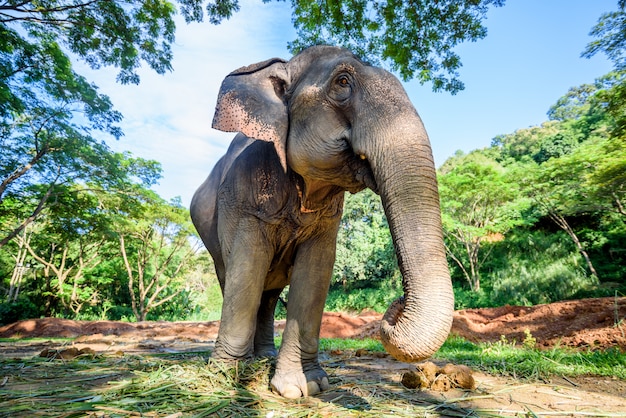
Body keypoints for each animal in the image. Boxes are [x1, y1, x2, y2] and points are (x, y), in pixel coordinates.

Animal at [188, 45, 450, 398]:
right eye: (342, 82)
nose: (394, 307)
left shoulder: (328, 217)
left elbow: (316, 270)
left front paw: (304, 387)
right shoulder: (245, 197)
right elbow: (246, 265)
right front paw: (227, 376)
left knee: (269, 295)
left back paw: (265, 357)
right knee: (234, 279)